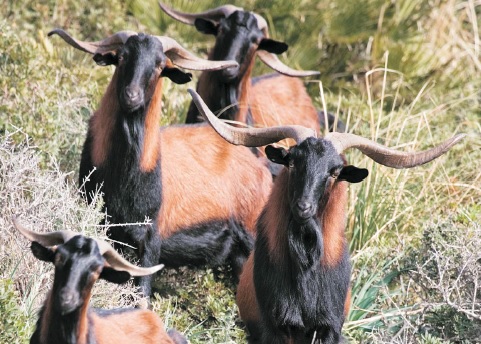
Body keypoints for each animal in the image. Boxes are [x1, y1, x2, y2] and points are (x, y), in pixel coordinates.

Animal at [51, 29, 274, 296]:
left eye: (159, 66)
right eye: (122, 56)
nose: (131, 96)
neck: (129, 173)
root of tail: (262, 170)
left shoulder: (151, 240)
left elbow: (142, 294)